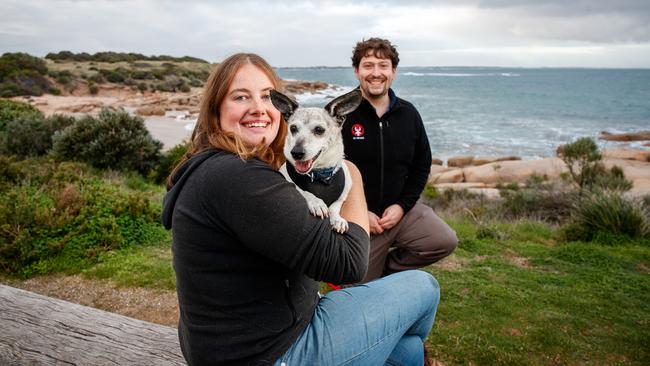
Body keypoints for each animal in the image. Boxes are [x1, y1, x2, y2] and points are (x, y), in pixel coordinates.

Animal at [268, 88, 360, 232]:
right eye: (293, 128)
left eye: (319, 130)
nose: (296, 153)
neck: (320, 175)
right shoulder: (289, 180)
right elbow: (303, 191)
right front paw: (317, 203)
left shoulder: (344, 193)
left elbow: (335, 205)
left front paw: (337, 219)